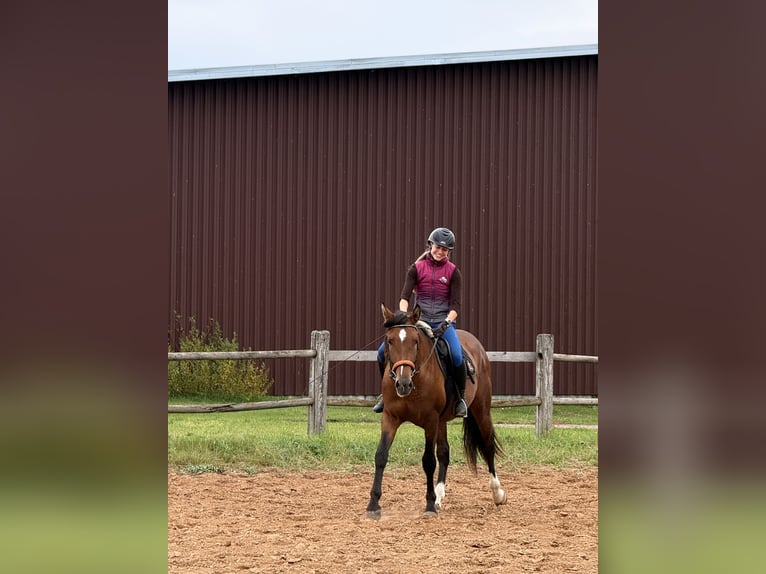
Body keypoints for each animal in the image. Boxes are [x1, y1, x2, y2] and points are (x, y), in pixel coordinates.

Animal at [368, 306, 510, 520]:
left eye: (415, 341)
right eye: (389, 341)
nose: (403, 384)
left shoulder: (430, 420)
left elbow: (428, 461)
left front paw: (428, 505)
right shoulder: (390, 418)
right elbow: (381, 455)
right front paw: (373, 504)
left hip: (480, 410)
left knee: (487, 446)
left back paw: (498, 493)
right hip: (442, 421)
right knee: (444, 453)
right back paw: (439, 496)